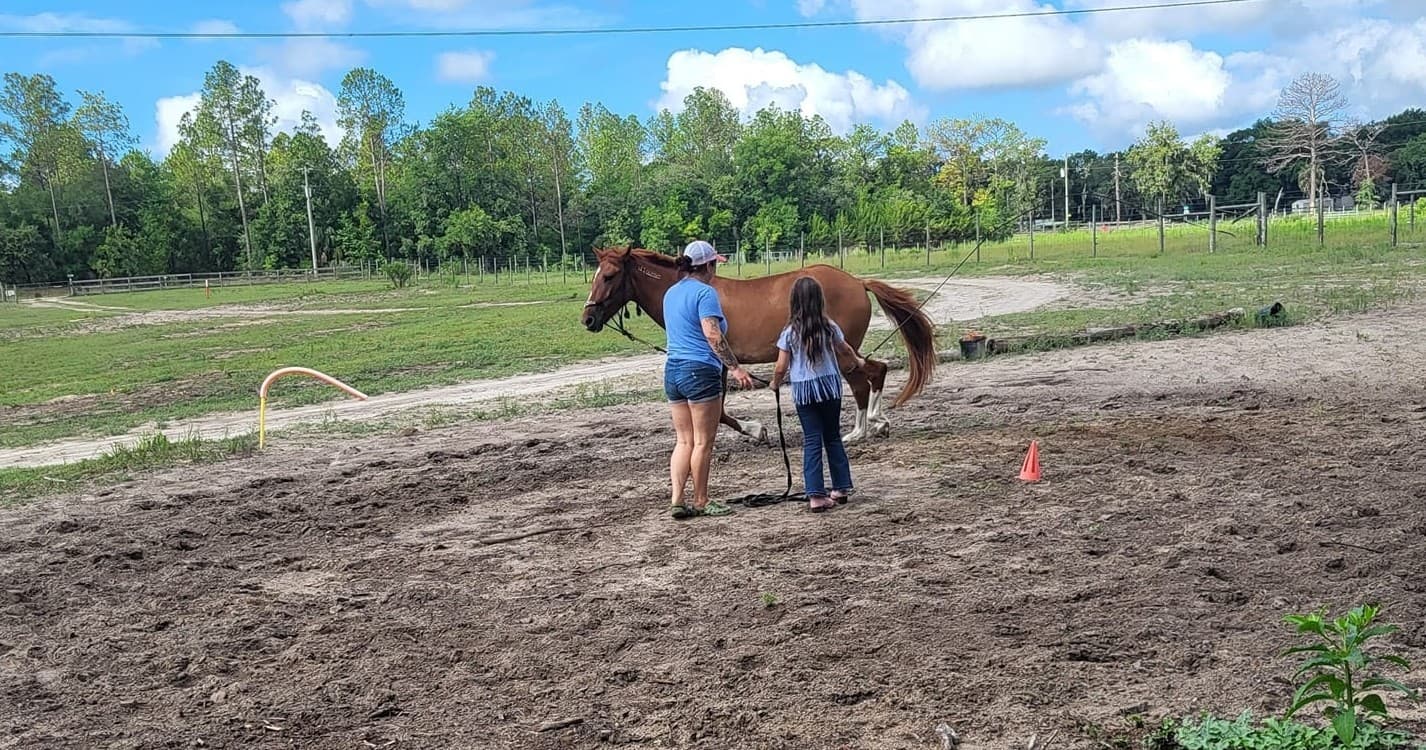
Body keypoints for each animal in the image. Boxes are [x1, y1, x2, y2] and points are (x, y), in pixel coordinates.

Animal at [580, 247, 937, 444]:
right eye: (595, 275)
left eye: (610, 275)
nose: (587, 318)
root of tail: (857, 282)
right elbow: (720, 412)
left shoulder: (720, 363)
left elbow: (719, 413)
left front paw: (757, 430)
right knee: (874, 373)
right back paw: (875, 425)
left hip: (840, 348)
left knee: (866, 380)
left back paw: (862, 430)